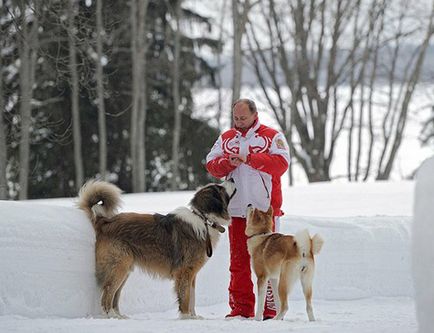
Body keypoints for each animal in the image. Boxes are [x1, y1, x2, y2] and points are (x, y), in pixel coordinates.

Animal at [76, 179, 236, 320]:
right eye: (220, 188)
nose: (232, 179)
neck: (204, 219)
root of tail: (104, 221)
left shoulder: (192, 275)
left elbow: (192, 297)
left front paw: (194, 316)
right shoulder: (185, 271)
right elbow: (185, 296)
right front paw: (186, 317)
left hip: (124, 269)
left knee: (114, 294)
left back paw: (119, 315)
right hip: (119, 266)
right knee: (107, 293)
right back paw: (111, 316)